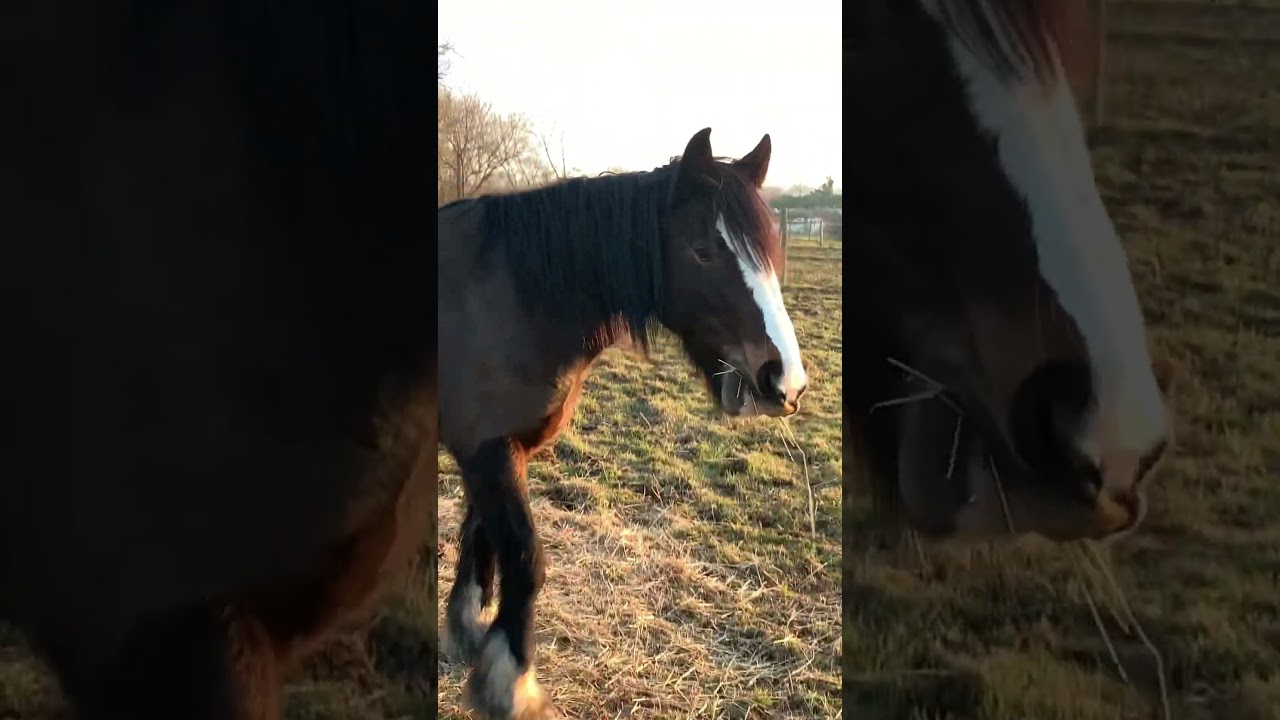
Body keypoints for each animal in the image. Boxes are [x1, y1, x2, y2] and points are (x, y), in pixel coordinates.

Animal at [437, 127, 808, 719]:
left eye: (773, 251)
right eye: (702, 251)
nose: (785, 382)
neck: (514, 300)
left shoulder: (500, 451)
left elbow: (481, 534)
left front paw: (469, 628)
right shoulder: (485, 449)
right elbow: (525, 554)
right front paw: (511, 681)